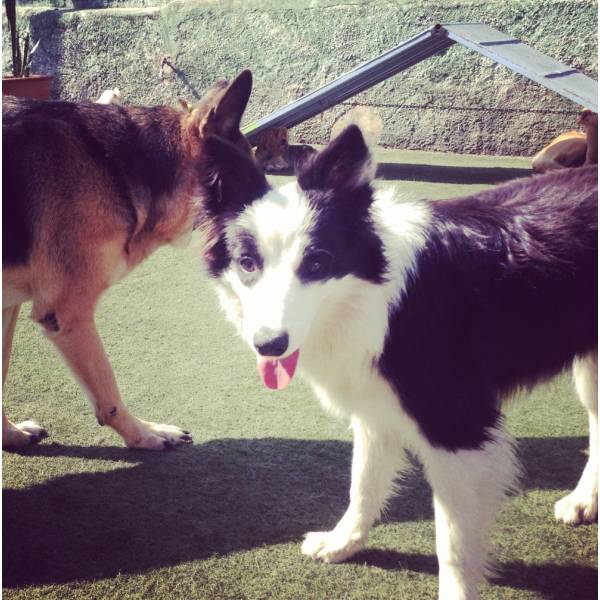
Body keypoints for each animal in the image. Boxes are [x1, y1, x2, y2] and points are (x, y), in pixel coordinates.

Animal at [1, 69, 253, 450]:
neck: (111, 168)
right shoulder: (70, 316)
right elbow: (109, 394)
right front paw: (146, 434)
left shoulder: (9, 308)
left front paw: (9, 434)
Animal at [197, 126, 596, 600]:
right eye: (247, 263)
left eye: (316, 263)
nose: (269, 345)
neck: (381, 299)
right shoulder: (375, 405)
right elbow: (363, 484)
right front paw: (342, 543)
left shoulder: (458, 425)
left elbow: (453, 544)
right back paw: (585, 501)